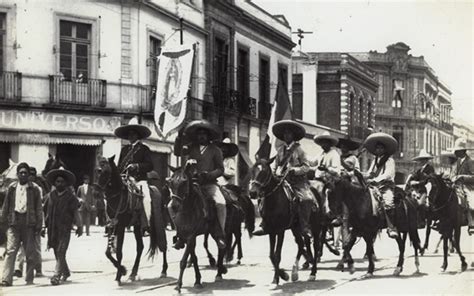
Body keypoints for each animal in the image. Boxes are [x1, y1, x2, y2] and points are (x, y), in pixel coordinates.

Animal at [93, 156, 168, 286]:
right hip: (137, 226)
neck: (118, 196)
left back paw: (164, 270)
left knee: (162, 242)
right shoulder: (112, 225)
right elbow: (108, 252)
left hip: (158, 222)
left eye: (106, 171)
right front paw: (122, 270)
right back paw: (133, 273)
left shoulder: (121, 227)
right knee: (140, 247)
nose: (96, 193)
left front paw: (119, 275)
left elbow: (119, 252)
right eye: (96, 170)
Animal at [246, 158, 320, 286]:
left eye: (265, 172)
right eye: (252, 170)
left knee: (314, 246)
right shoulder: (271, 230)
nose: (252, 193)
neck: (274, 200)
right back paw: (295, 272)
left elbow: (277, 255)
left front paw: (282, 276)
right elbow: (272, 255)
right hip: (296, 228)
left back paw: (312, 273)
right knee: (301, 244)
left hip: (315, 227)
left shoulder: (280, 230)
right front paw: (279, 276)